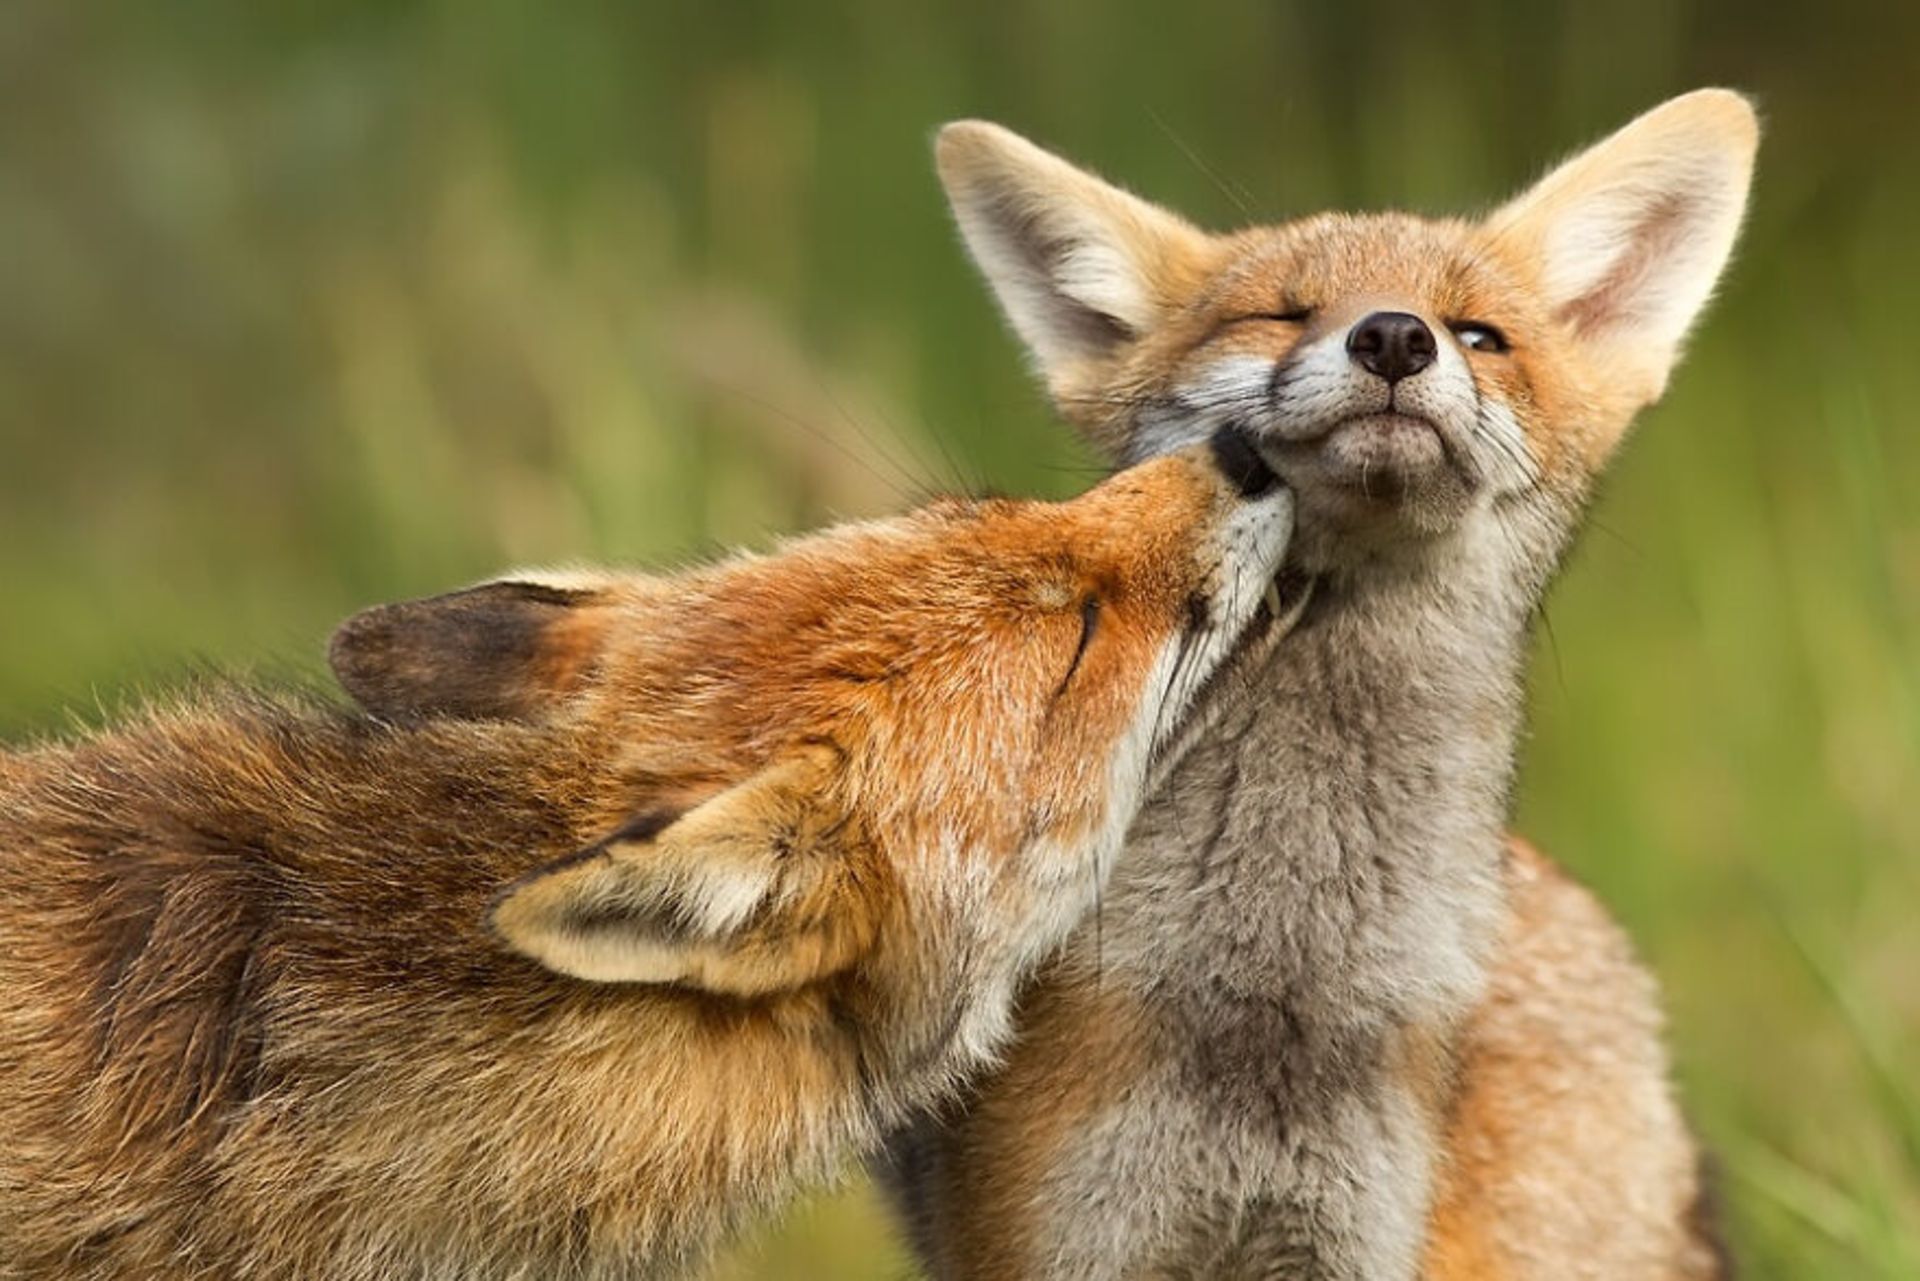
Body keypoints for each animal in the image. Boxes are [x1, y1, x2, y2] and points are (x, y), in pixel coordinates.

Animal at [879, 90, 1758, 1281]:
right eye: (1282, 315)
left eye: (1479, 334)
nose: (1393, 335)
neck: (1275, 1001)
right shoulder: (1059, 1236)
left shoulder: (1351, 1237)